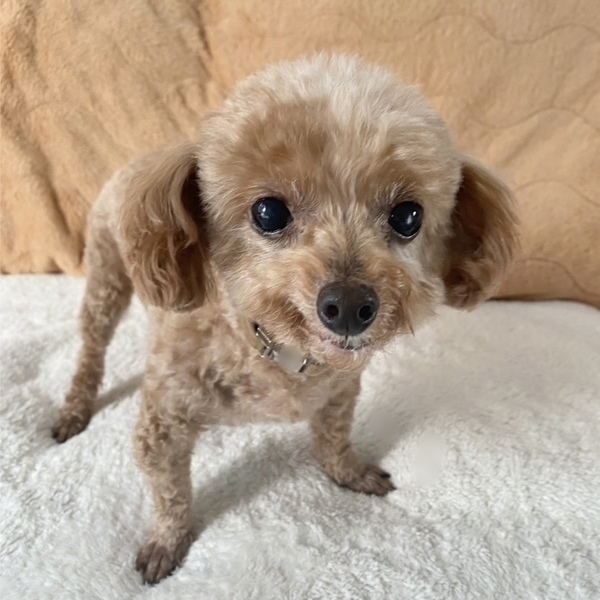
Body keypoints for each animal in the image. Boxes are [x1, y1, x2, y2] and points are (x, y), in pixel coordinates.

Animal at [52, 54, 517, 583]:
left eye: (408, 216)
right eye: (268, 213)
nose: (349, 306)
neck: (273, 349)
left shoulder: (339, 392)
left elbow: (334, 440)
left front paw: (350, 472)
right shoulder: (163, 424)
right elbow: (171, 495)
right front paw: (166, 543)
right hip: (106, 275)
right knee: (92, 347)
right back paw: (75, 408)